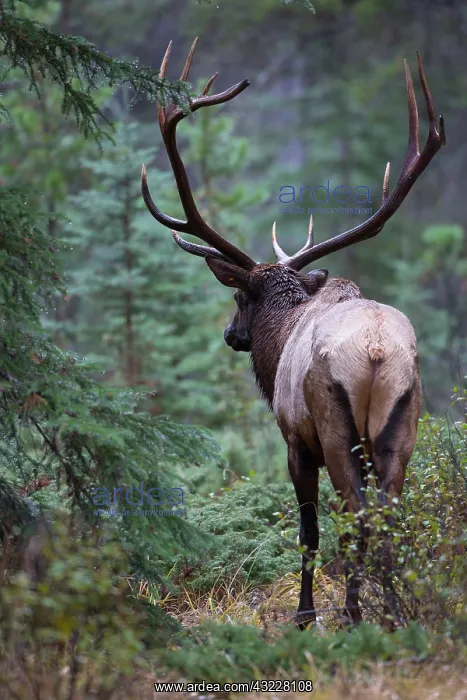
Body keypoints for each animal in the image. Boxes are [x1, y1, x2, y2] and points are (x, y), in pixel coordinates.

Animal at [141, 38, 446, 629]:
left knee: (356, 517)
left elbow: (308, 533)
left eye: (239, 297)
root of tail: (377, 352)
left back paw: (353, 612)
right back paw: (393, 612)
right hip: (403, 426)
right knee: (390, 517)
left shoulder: (294, 440)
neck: (281, 335)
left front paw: (305, 615)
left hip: (336, 429)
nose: (231, 334)